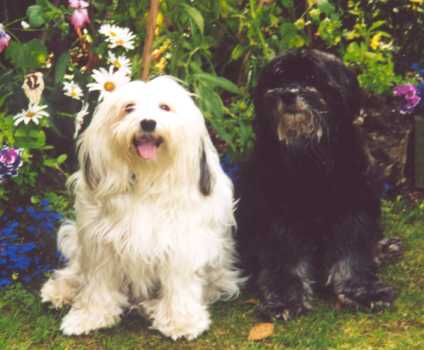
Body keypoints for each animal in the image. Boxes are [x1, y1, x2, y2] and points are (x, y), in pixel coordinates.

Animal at [42, 76, 245, 340]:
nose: (148, 123)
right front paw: (89, 316)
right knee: (78, 272)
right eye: (128, 107)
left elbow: (179, 284)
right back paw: (60, 290)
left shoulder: (182, 245)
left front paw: (181, 321)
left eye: (165, 107)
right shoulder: (101, 246)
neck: (147, 180)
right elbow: (98, 284)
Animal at [237, 48, 396, 320]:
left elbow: (353, 254)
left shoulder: (353, 209)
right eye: (278, 78)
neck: (310, 156)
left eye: (312, 78)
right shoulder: (278, 217)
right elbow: (284, 259)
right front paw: (284, 299)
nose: (288, 94)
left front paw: (362, 291)